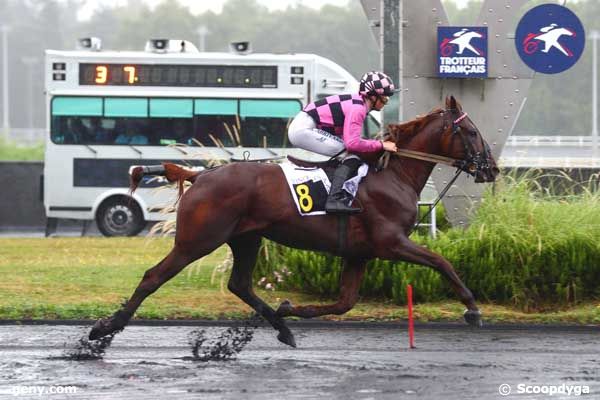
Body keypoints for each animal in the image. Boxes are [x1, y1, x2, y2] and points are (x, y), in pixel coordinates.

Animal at [89, 96, 500, 346]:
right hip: (197, 241)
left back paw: (282, 326)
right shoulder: (391, 243)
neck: (393, 173)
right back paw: (104, 328)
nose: (492, 169)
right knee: (152, 277)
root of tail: (201, 175)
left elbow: (344, 303)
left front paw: (291, 309)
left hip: (246, 238)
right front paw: (473, 309)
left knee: (240, 285)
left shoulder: (360, 253)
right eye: (472, 132)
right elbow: (442, 262)